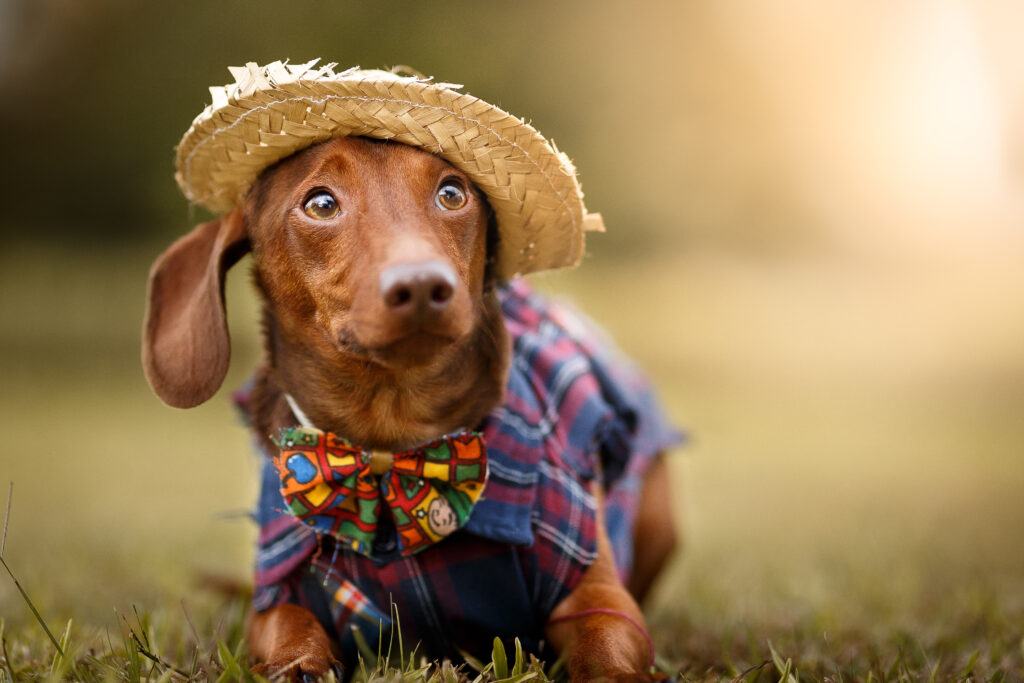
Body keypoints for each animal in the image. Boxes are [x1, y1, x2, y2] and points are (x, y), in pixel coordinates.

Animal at [140, 62, 675, 679]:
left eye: (452, 193)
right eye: (320, 204)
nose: (421, 285)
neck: (392, 444)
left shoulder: (598, 595)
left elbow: (607, 645)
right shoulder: (278, 591)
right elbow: (289, 632)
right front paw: (301, 664)